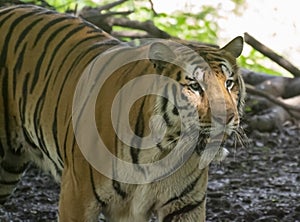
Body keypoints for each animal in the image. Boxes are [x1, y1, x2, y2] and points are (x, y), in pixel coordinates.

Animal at [0, 3, 245, 222]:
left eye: (229, 83)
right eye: (194, 86)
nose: (227, 118)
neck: (163, 151)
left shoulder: (185, 206)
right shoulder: (78, 196)